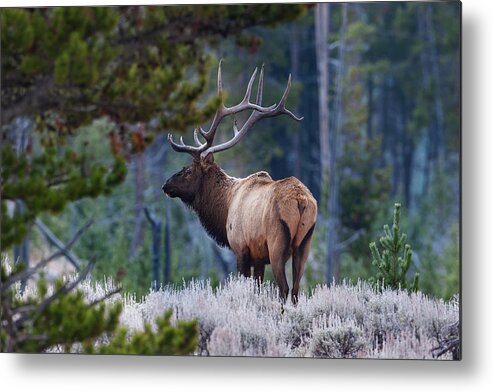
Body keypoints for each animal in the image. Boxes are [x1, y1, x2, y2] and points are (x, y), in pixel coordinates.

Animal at [161, 62, 316, 306]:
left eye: (188, 170)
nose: (166, 185)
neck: (224, 207)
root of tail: (301, 201)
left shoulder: (241, 249)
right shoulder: (259, 257)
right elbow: (259, 287)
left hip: (277, 244)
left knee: (283, 288)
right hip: (304, 243)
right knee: (296, 290)